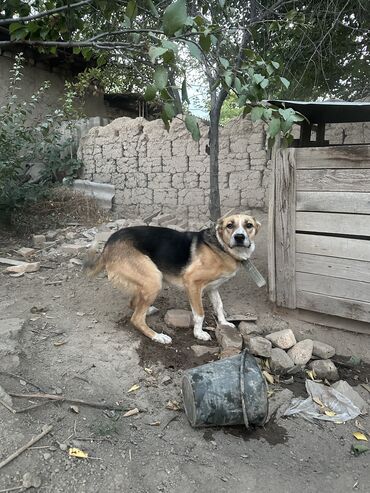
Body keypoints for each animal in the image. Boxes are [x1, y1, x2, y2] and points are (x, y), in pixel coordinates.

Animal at [85, 213, 262, 344]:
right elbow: (199, 313)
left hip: (146, 281)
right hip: (154, 279)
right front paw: (199, 333)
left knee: (133, 303)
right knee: (136, 319)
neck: (220, 247)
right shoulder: (192, 283)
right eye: (230, 225)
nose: (239, 237)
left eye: (249, 225)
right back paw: (158, 336)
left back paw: (148, 310)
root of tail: (108, 243)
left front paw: (224, 323)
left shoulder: (213, 288)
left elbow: (219, 306)